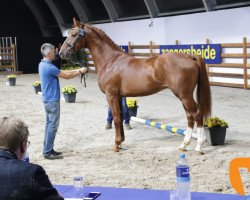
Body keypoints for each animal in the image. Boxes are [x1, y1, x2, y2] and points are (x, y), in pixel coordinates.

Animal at [59, 18, 211, 154]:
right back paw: (184, 145)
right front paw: (121, 142)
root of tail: (189, 56)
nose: (61, 53)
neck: (110, 61)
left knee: (197, 115)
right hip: (183, 96)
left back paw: (198, 147)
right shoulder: (119, 96)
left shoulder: (111, 95)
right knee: (190, 117)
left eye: (74, 34)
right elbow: (120, 116)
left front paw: (116, 145)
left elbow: (116, 118)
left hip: (184, 95)